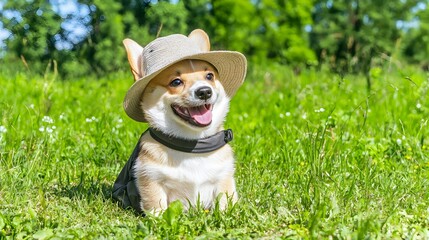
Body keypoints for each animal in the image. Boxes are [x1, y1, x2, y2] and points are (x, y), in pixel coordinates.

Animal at [112, 29, 246, 215]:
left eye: (210, 76)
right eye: (176, 82)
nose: (204, 91)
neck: (191, 143)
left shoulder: (223, 177)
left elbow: (225, 202)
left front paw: (226, 214)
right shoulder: (151, 178)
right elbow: (157, 206)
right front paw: (160, 219)